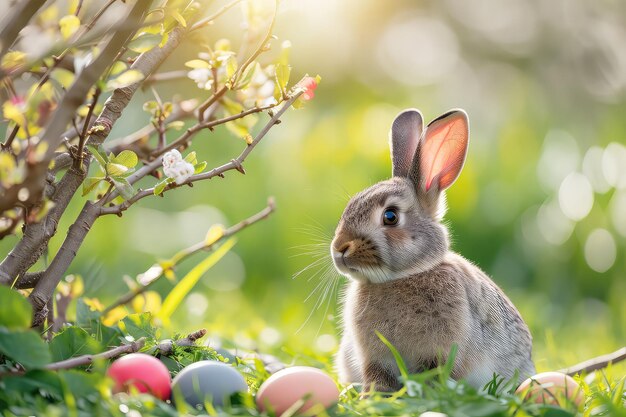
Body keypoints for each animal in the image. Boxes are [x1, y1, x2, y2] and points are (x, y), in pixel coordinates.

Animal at [332, 109, 532, 392]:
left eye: (390, 216)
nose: (339, 249)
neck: (403, 276)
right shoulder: (375, 356)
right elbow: (378, 375)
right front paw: (371, 395)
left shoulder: (439, 352)